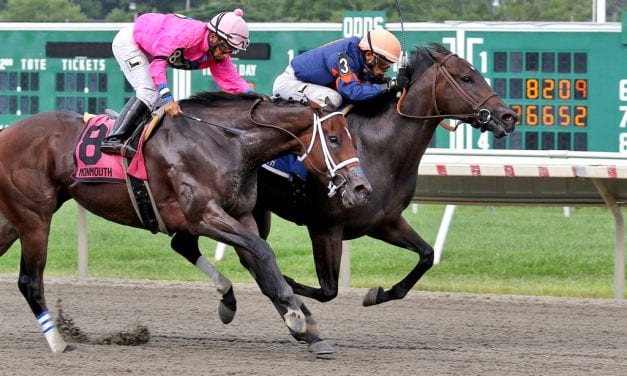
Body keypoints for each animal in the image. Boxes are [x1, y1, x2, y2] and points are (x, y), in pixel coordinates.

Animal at [0, 92, 372, 354]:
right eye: (335, 139)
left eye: (350, 138)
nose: (362, 188)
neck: (227, 142)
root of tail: (7, 133)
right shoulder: (204, 214)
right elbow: (263, 252)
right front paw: (295, 316)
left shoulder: (240, 215)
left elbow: (262, 266)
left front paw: (306, 330)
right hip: (34, 217)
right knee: (29, 281)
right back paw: (58, 343)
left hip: (13, 220)